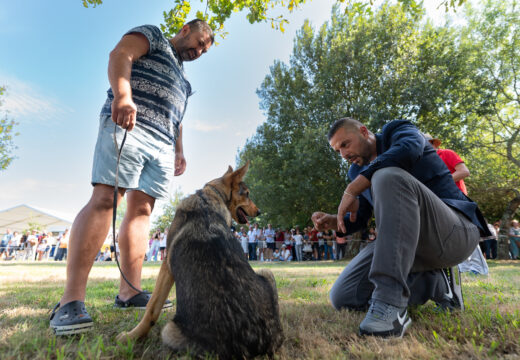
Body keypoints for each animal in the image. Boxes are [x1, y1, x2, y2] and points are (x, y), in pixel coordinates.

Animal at [117, 162, 284, 358]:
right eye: (247, 194)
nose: (259, 212)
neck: (208, 199)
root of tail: (251, 345)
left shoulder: (166, 266)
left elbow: (151, 310)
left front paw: (131, 337)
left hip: (170, 330)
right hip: (268, 274)